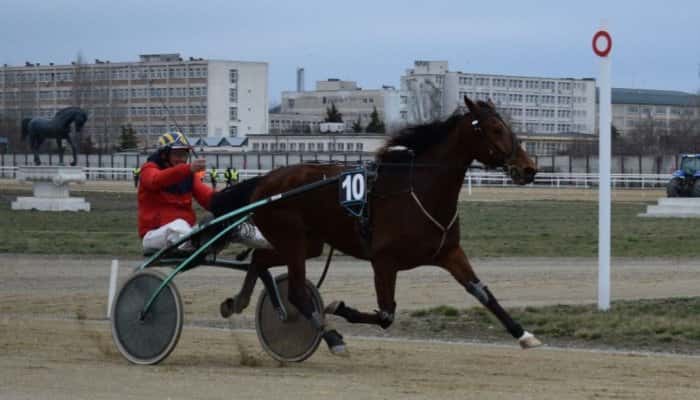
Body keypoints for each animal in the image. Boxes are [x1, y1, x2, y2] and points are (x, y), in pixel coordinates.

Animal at [213, 97, 540, 354]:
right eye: (495, 129)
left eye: (509, 127)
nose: (529, 169)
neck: (419, 190)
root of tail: (265, 181)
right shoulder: (383, 261)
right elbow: (385, 315)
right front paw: (338, 308)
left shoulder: (449, 252)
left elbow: (482, 292)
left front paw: (524, 334)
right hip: (292, 239)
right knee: (296, 292)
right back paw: (331, 337)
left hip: (307, 243)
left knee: (260, 259)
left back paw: (237, 302)